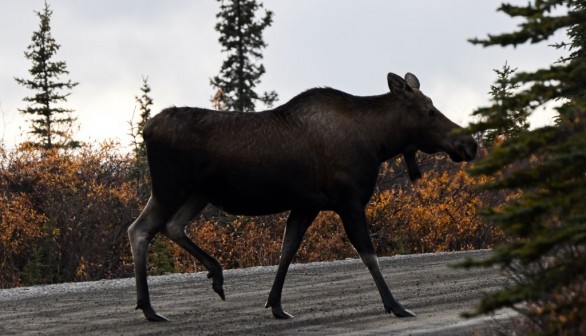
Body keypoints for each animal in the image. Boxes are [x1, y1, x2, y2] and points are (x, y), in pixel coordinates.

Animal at [126, 72, 474, 322]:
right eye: (430, 112)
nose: (469, 144)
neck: (378, 143)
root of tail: (146, 129)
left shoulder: (307, 205)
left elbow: (288, 249)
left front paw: (276, 305)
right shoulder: (348, 201)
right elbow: (368, 254)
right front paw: (396, 305)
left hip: (196, 194)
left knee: (168, 227)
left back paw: (210, 277)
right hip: (171, 188)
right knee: (140, 229)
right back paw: (150, 308)